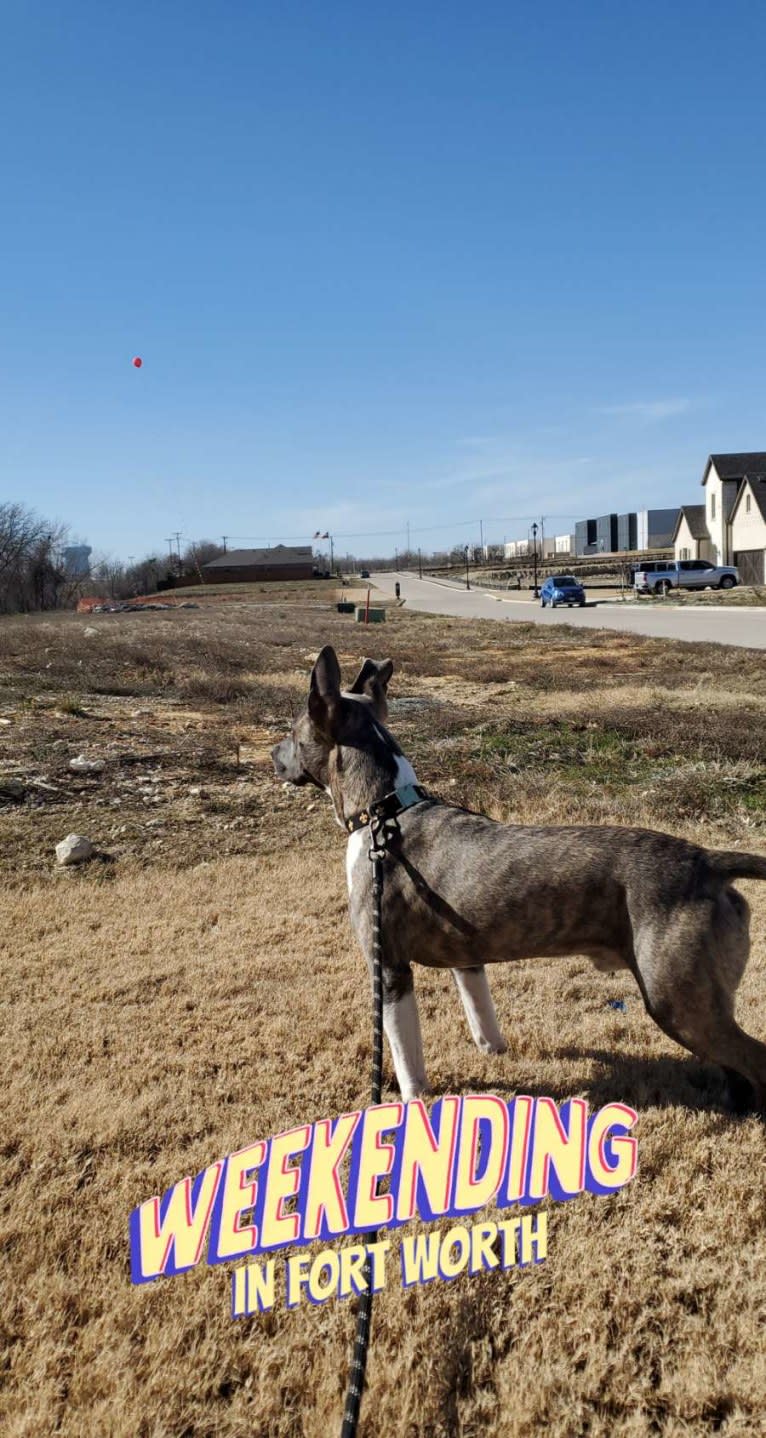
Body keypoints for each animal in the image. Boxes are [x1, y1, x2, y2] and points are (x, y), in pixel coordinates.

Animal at [271, 649, 764, 1110]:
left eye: (293, 732)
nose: (273, 755)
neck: (385, 810)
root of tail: (705, 861)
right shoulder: (466, 956)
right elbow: (480, 1010)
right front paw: (493, 1051)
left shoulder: (389, 968)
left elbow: (404, 1050)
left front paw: (411, 1102)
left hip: (678, 1002)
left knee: (751, 1057)